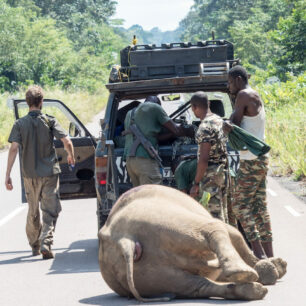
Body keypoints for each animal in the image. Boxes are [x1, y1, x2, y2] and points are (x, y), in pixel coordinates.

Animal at [98, 184, 286, 302]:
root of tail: (123, 239)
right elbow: (236, 235)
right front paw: (275, 267)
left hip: (150, 276)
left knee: (196, 286)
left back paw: (254, 289)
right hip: (167, 220)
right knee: (213, 228)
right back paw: (246, 274)